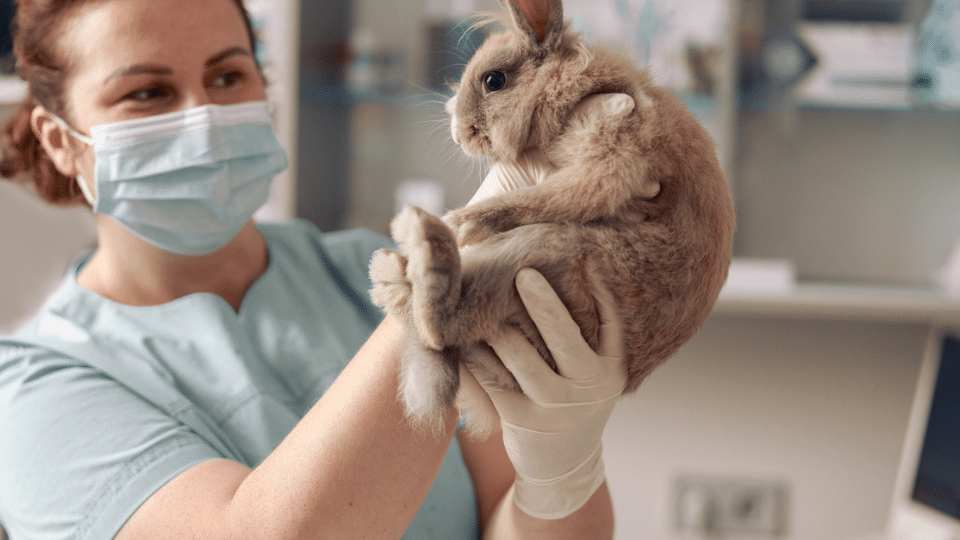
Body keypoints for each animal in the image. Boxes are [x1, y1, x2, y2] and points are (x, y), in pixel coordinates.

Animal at [370, 0, 736, 436]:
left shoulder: (616, 152)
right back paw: (392, 266)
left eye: (494, 80)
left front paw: (465, 221)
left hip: (545, 254)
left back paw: (420, 242)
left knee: (439, 325)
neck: (574, 87)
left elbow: (554, 196)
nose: (460, 134)